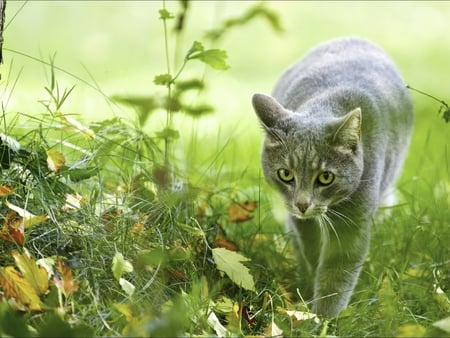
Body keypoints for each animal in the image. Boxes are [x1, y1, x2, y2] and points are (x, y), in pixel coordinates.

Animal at [251, 38, 414, 318]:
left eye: (326, 177)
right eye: (285, 174)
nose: (302, 204)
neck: (326, 102)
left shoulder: (353, 221)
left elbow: (337, 272)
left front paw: (322, 318)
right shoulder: (301, 222)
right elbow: (311, 247)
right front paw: (311, 289)